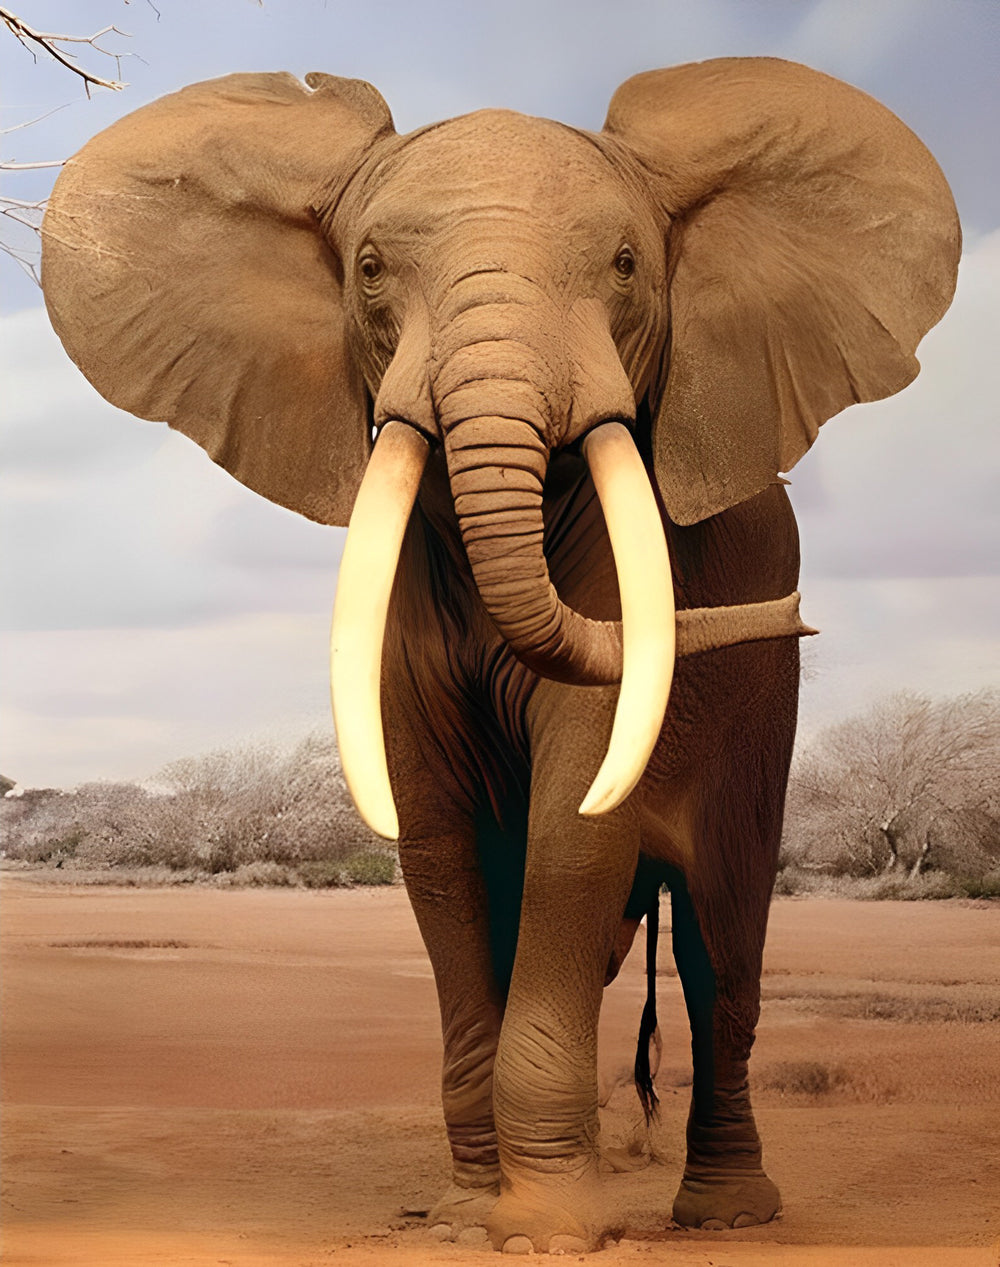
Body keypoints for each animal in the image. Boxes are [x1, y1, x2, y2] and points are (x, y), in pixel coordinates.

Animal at [40, 57, 959, 1253]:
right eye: (370, 270)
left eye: (625, 266)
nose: (794, 615)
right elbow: (439, 847)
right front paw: (466, 1212)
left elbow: (576, 829)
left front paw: (545, 1233)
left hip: (765, 711)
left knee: (723, 950)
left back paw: (725, 1212)